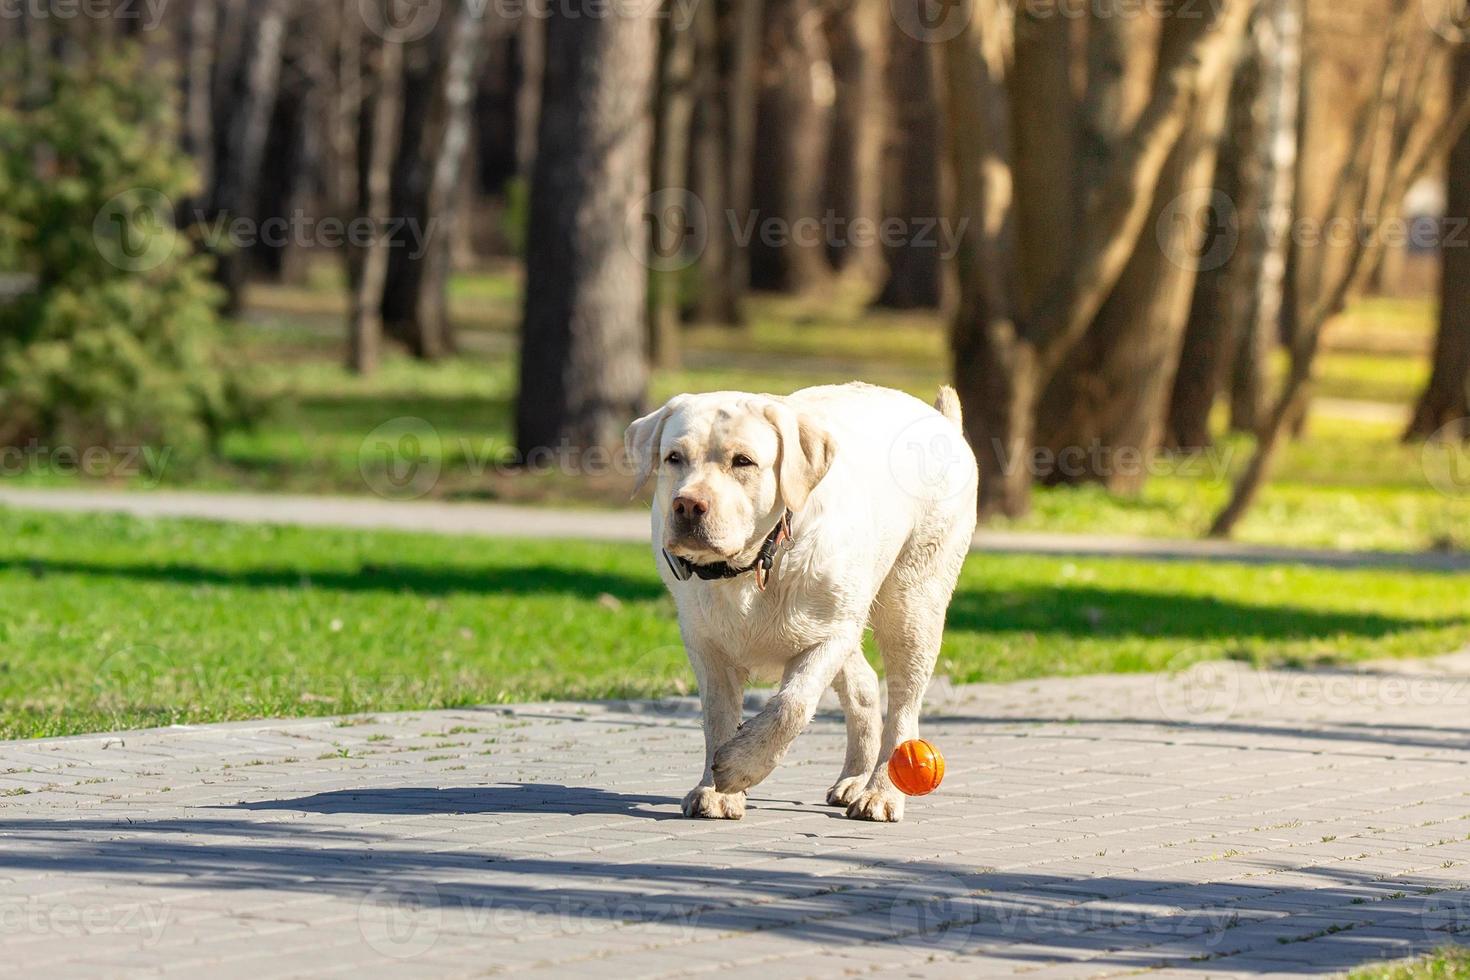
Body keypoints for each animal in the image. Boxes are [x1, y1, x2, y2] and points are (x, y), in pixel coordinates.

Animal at [620, 382, 976, 822]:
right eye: (674, 458)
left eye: (743, 461)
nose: (687, 504)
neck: (753, 562)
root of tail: (941, 419)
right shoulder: (704, 642)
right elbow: (717, 716)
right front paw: (714, 792)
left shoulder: (831, 633)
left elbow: (792, 705)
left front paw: (740, 766)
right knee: (864, 684)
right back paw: (854, 780)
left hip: (912, 603)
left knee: (903, 705)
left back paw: (880, 793)